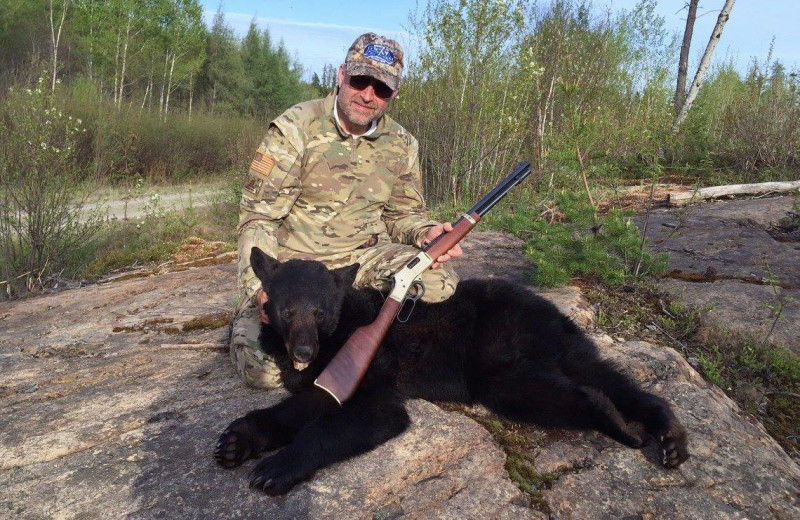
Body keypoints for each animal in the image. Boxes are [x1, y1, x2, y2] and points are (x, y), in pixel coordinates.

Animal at [214, 246, 688, 494]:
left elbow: (367, 415)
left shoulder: (369, 366)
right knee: (602, 372)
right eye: (286, 310)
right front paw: (238, 441)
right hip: (558, 342)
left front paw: (278, 467)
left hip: (497, 349)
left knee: (561, 387)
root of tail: (547, 306)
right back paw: (669, 434)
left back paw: (621, 424)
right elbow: (301, 404)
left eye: (320, 310)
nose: (304, 350)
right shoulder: (326, 375)